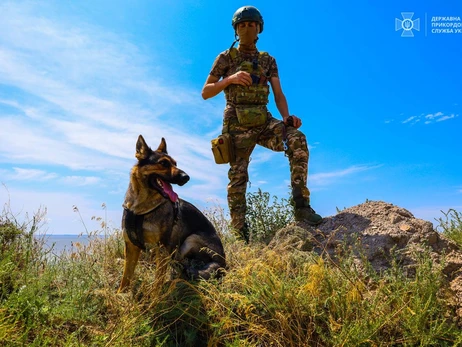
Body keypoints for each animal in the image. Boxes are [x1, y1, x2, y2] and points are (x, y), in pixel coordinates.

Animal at [118, 135, 226, 292]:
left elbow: (158, 278)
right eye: (163, 163)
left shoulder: (162, 247)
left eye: (175, 164)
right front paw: (120, 293)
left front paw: (154, 295)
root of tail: (222, 262)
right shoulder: (131, 247)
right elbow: (126, 275)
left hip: (190, 239)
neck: (141, 208)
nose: (186, 177)